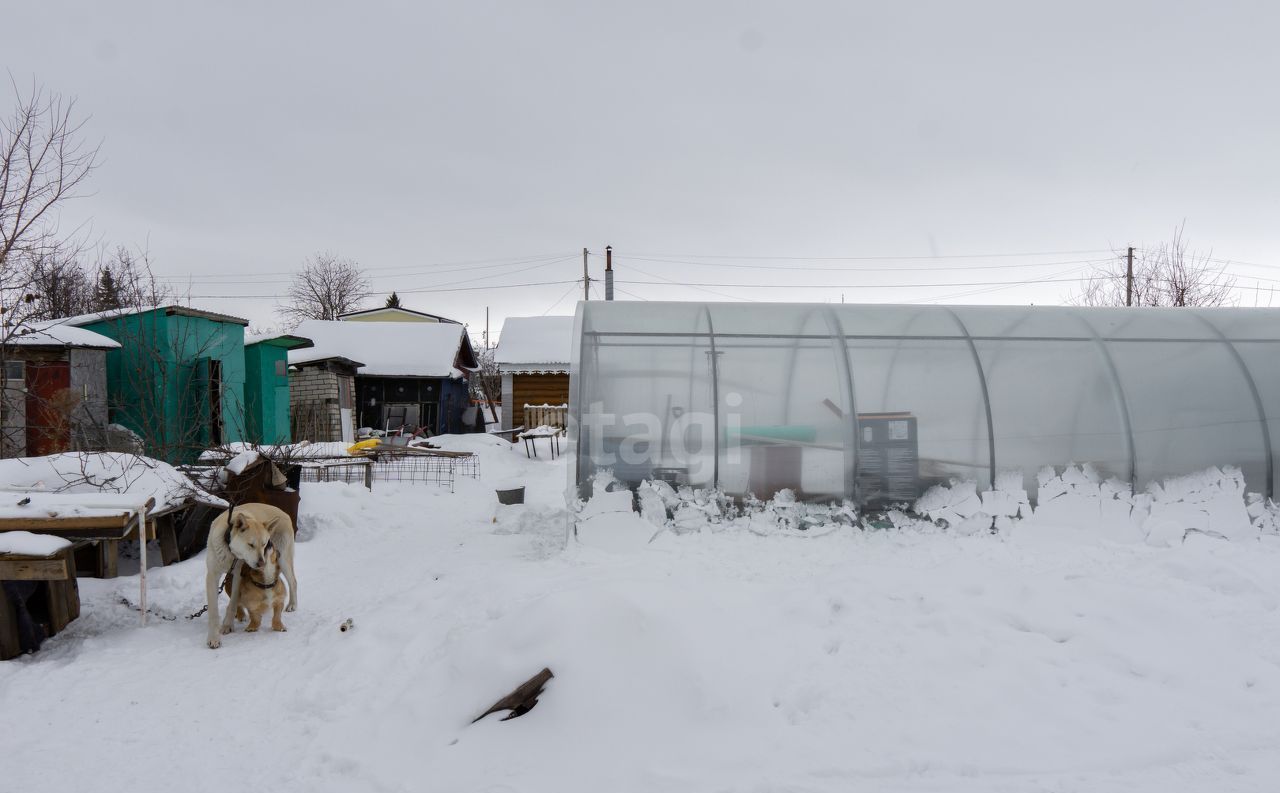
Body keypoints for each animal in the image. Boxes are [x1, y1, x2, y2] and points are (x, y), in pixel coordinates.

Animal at [206, 501, 298, 649]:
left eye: (264, 544)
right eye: (251, 545)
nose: (261, 563)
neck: (230, 552)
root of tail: (284, 513)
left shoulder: (237, 575)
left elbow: (232, 604)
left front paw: (227, 625)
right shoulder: (212, 576)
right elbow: (214, 613)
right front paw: (214, 638)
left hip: (283, 560)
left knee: (293, 582)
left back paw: (292, 605)